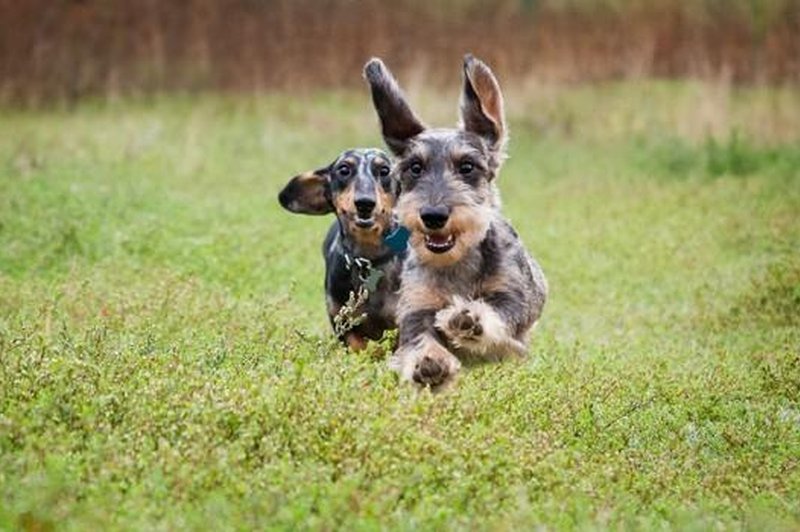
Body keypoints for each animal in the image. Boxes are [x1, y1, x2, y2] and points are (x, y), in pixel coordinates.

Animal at [364, 55, 548, 390]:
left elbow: (498, 312)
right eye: (415, 167)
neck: (456, 263)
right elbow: (418, 338)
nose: (433, 216)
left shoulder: (513, 298)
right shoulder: (416, 309)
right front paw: (429, 362)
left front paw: (468, 319)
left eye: (467, 166)